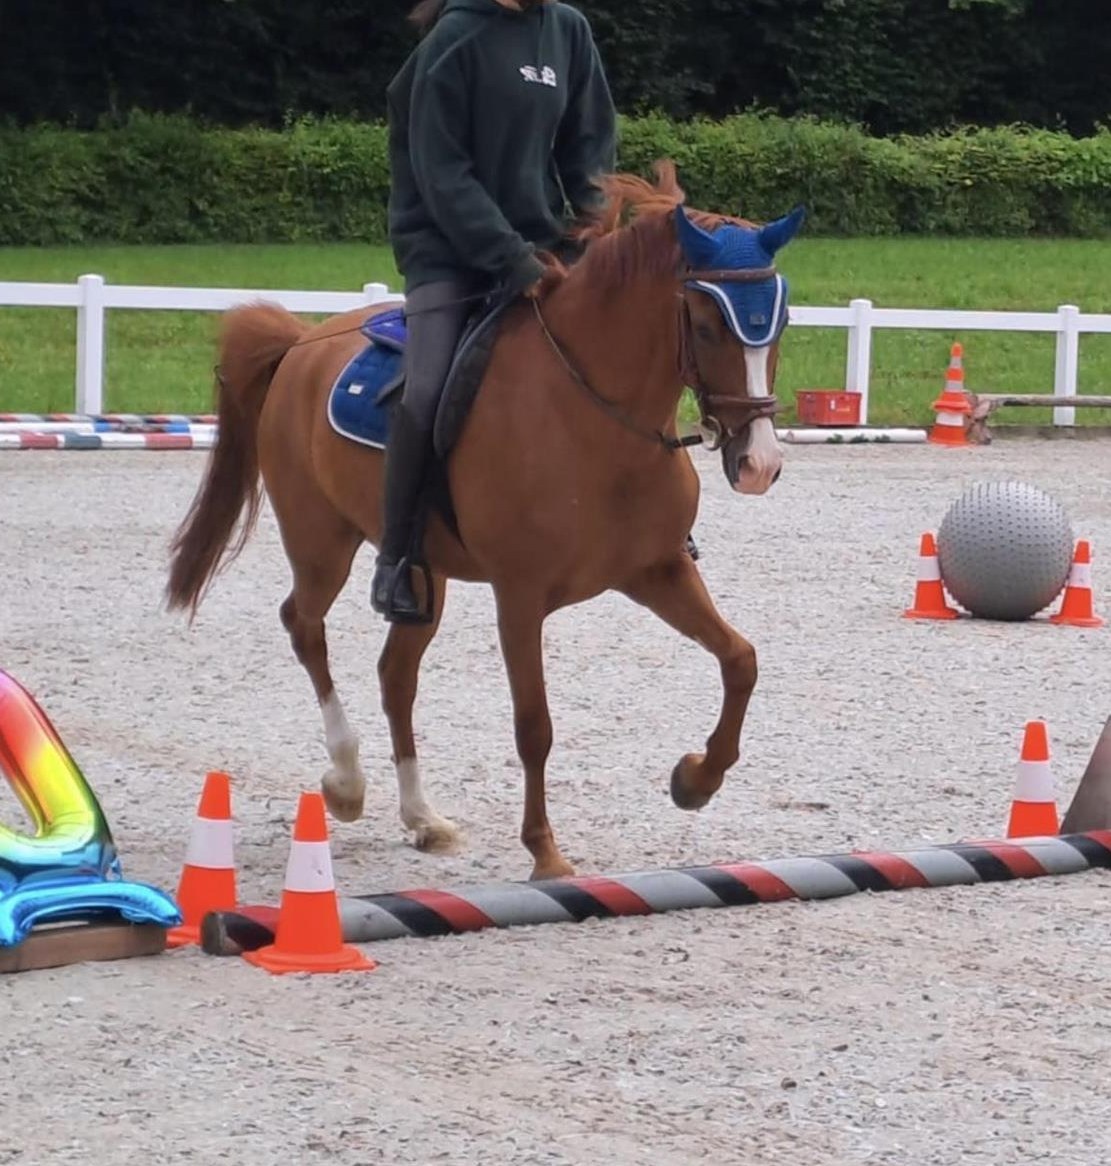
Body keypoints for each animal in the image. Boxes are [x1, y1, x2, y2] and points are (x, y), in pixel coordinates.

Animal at [164, 161, 804, 880]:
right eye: (705, 322)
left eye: (780, 322)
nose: (758, 463)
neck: (595, 418)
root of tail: (301, 343)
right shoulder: (519, 597)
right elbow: (534, 725)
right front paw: (546, 853)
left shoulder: (656, 570)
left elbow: (741, 660)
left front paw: (695, 779)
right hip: (319, 541)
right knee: (304, 627)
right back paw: (347, 782)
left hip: (422, 576)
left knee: (395, 676)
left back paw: (423, 817)